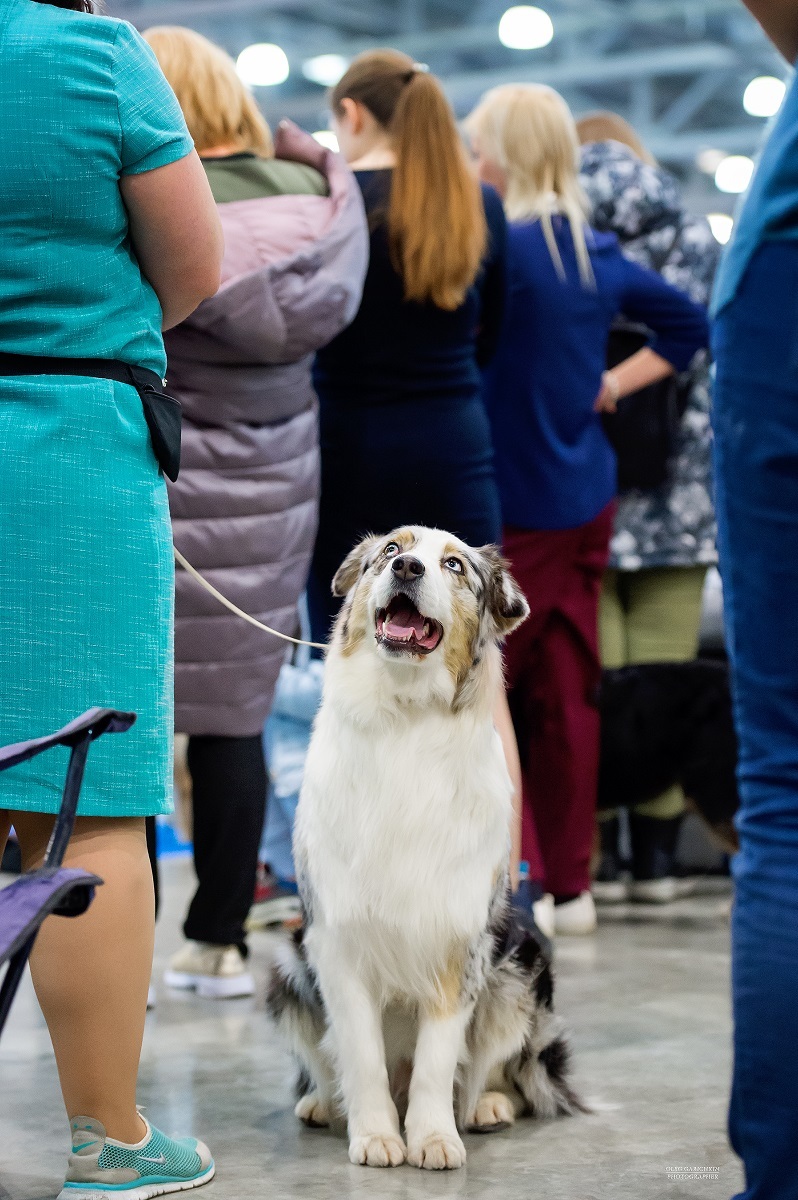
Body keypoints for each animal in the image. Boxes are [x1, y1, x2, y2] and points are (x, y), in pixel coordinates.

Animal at [264, 525, 583, 1171]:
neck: (404, 717)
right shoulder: (336, 942)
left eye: (455, 565)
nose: (408, 568)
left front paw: (433, 1138)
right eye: (390, 549)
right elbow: (361, 1056)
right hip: (287, 965)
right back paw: (323, 1105)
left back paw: (486, 1105)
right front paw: (376, 1137)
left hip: (521, 965)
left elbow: (437, 1064)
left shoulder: (459, 943)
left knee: (491, 1071)